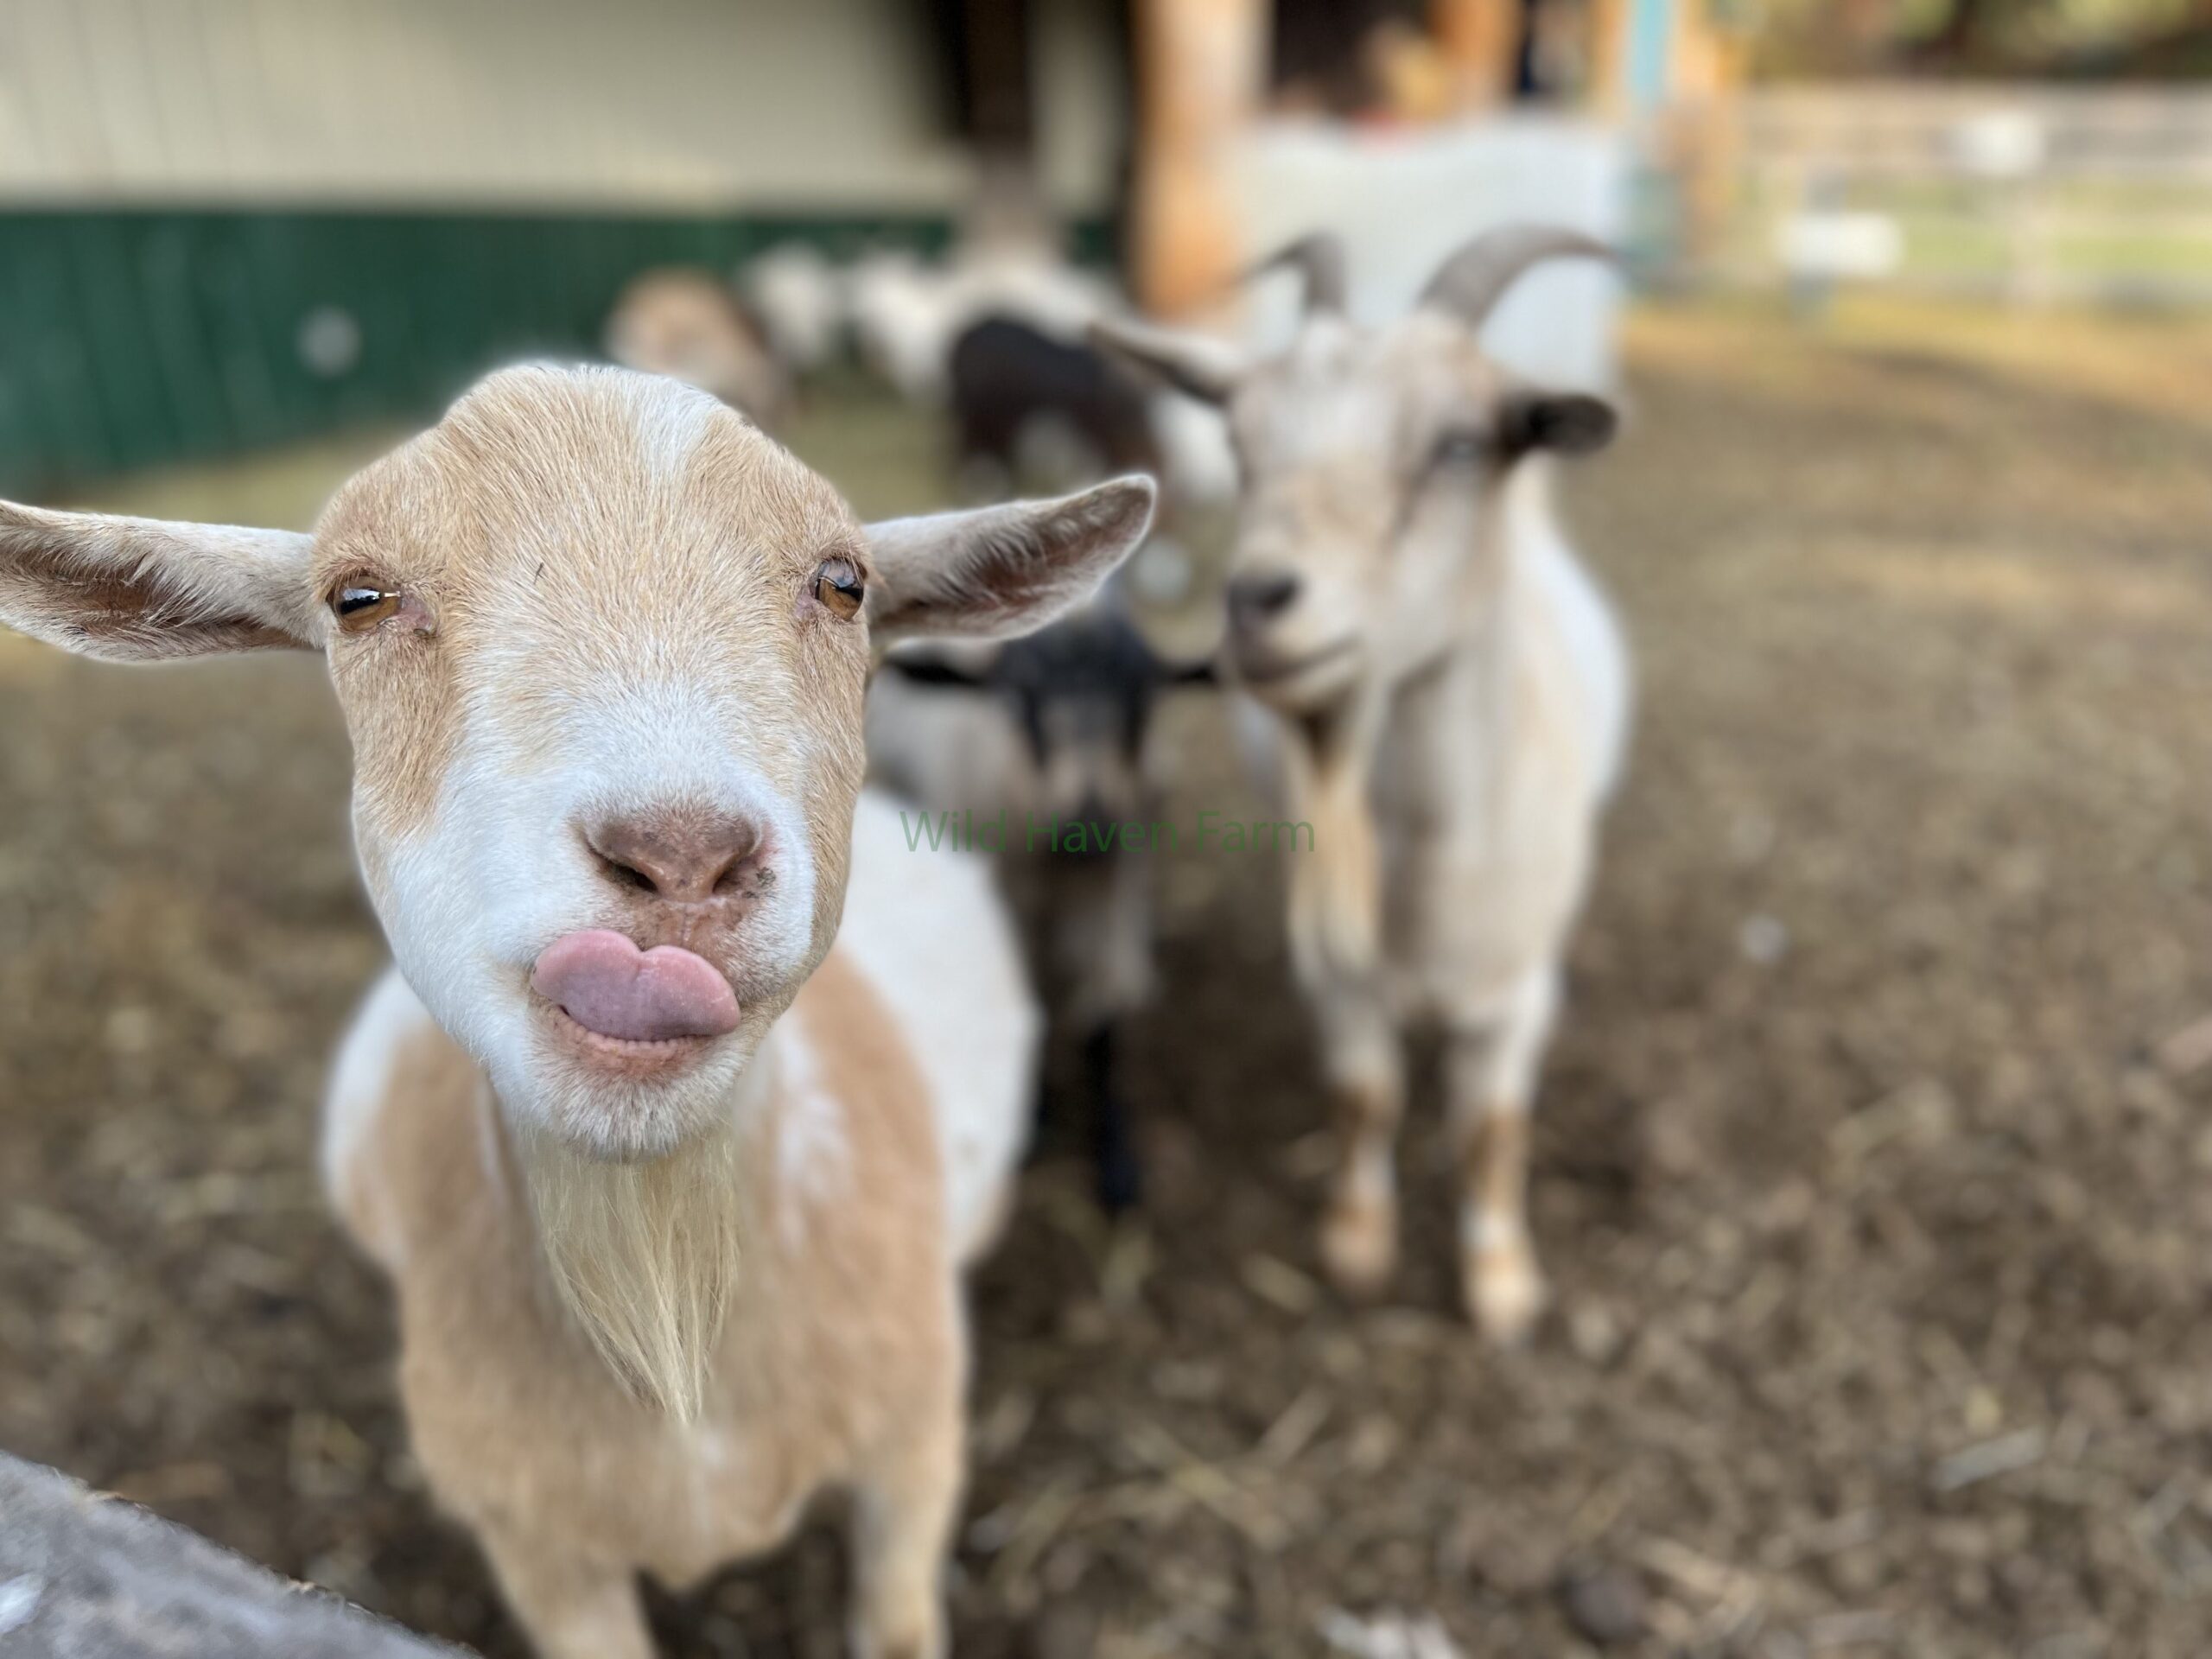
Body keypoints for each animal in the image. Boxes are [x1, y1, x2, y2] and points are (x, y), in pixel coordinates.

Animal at [866, 601, 1212, 1211]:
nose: (1089, 824)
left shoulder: (1109, 897)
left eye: (1143, 697)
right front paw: (1036, 1116)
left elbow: (1104, 1028)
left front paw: (1117, 1162)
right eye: (1018, 698)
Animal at [1092, 227, 1628, 1342]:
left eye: (1463, 444)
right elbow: (1363, 1098)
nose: (1259, 600)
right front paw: (1355, 1243)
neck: (1430, 855)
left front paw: (1500, 1283)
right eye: (1240, 440)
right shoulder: (1339, 978)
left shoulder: (1521, 992)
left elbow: (1490, 1127)